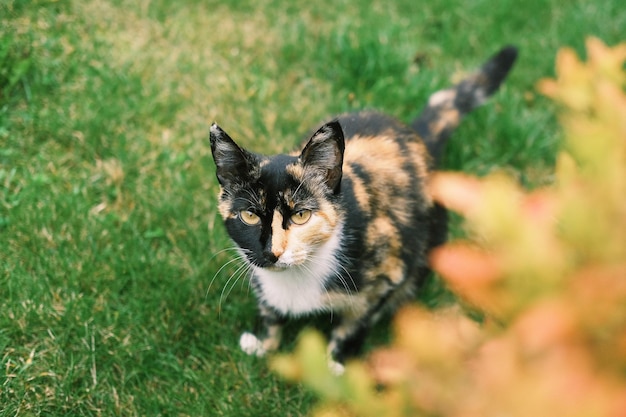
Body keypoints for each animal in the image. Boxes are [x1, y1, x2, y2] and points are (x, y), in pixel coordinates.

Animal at [210, 46, 516, 370]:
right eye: (249, 215)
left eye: (301, 215)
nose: (271, 252)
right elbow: (270, 310)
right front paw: (262, 342)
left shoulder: (390, 271)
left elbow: (356, 322)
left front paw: (338, 365)